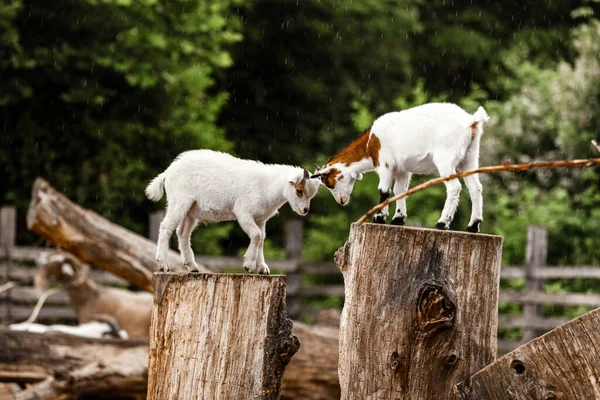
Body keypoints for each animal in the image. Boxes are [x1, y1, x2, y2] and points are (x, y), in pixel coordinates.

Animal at [145, 150, 322, 276]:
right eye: (299, 191)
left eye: (311, 195)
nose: (305, 211)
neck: (266, 186)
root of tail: (167, 173)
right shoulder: (244, 214)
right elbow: (256, 235)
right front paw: (249, 265)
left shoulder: (261, 219)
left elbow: (261, 239)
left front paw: (263, 269)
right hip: (179, 201)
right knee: (166, 227)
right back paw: (163, 264)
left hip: (191, 211)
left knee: (182, 233)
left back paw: (193, 267)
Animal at [312, 102, 490, 231]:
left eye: (329, 183)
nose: (341, 201)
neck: (370, 143)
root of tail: (470, 121)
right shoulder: (402, 170)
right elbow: (400, 191)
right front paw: (398, 219)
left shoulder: (385, 163)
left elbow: (384, 190)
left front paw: (379, 218)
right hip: (470, 159)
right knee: (476, 188)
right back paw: (473, 226)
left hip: (446, 158)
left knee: (454, 187)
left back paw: (442, 223)